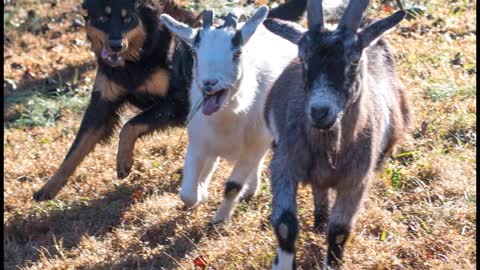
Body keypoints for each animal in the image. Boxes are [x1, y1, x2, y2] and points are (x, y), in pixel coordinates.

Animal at [32, 0, 308, 200]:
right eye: (102, 18)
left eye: (127, 18)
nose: (115, 45)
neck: (138, 58)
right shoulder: (103, 103)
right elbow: (75, 150)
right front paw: (49, 188)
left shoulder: (177, 104)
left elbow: (130, 126)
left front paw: (124, 162)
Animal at [262, 0, 412, 268]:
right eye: (303, 57)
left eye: (354, 59)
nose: (320, 111)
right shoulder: (283, 165)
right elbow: (285, 225)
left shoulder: (357, 179)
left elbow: (340, 232)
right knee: (319, 189)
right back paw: (319, 221)